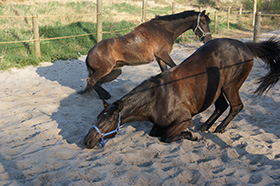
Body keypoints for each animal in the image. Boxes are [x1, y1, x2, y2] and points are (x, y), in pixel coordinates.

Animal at [78, 9, 210, 100]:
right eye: (203, 22)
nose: (208, 39)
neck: (163, 30)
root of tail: (90, 53)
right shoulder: (163, 55)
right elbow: (175, 67)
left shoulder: (160, 58)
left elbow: (165, 72)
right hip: (105, 70)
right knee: (91, 80)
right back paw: (105, 95)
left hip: (115, 71)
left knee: (96, 81)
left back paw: (104, 94)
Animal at [83, 37, 280, 149]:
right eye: (98, 118)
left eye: (109, 121)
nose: (87, 141)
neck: (157, 97)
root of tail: (245, 46)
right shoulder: (158, 124)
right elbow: (155, 134)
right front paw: (190, 134)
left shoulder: (185, 120)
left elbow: (165, 137)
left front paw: (189, 136)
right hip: (216, 90)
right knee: (222, 106)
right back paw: (205, 126)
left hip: (230, 86)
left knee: (236, 106)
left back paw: (220, 128)